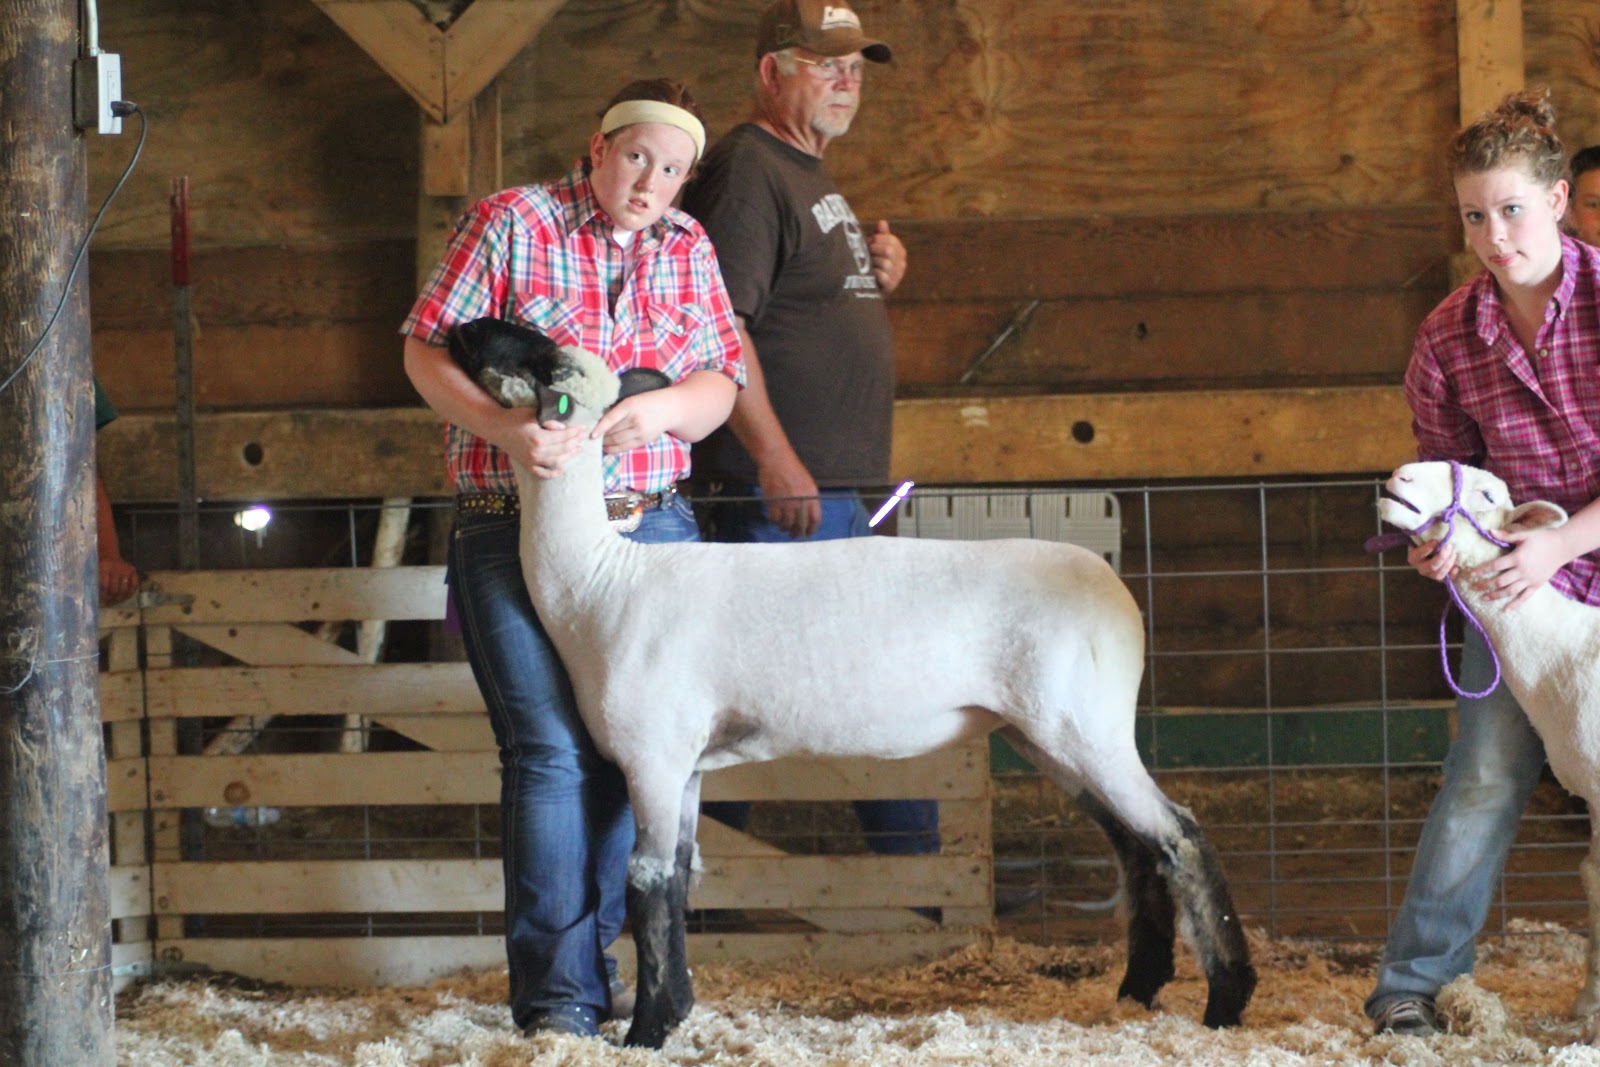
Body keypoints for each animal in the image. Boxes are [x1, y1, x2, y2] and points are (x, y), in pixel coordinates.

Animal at [447, 316, 1257, 1049]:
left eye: (539, 357)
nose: (460, 328)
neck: (599, 582)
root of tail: (1119, 596)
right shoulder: (685, 762)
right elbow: (678, 872)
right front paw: (672, 1012)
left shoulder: (652, 751)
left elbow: (646, 882)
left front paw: (646, 1031)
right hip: (1053, 734)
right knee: (1136, 846)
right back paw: (1137, 990)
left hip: (1083, 723)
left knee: (1179, 836)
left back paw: (1227, 999)